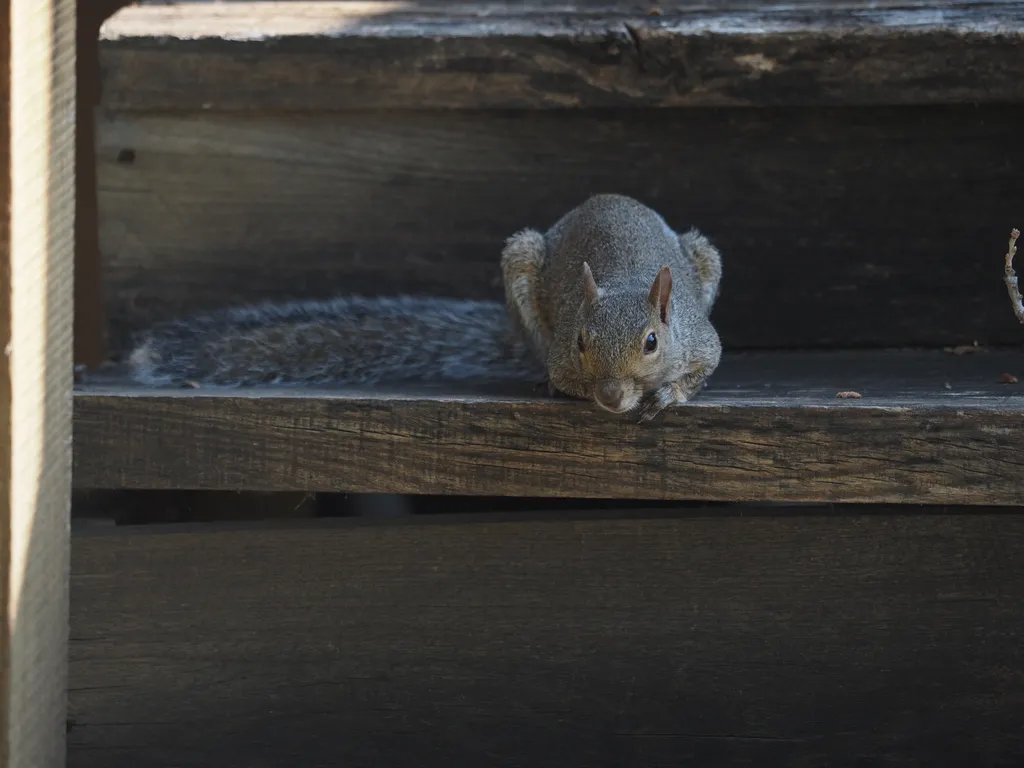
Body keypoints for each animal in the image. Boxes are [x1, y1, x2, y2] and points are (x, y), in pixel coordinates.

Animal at [125, 192, 720, 421]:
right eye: (579, 341)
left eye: (652, 342)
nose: (612, 396)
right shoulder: (561, 353)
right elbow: (564, 377)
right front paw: (575, 391)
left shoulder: (699, 337)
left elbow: (703, 366)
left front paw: (667, 394)